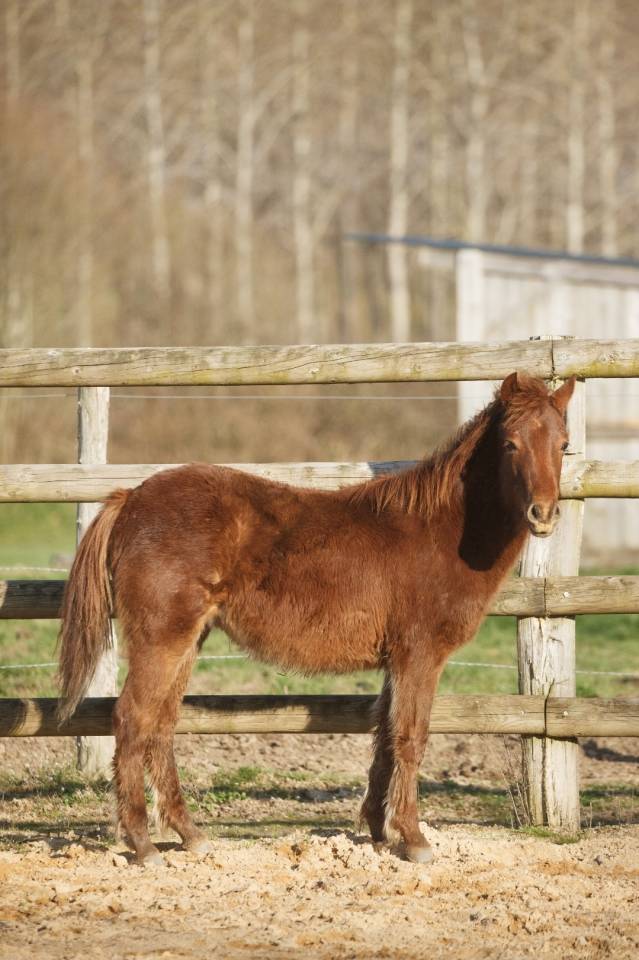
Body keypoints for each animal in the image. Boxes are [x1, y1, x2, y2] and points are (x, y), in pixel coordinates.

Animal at [57, 371, 575, 866]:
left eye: (564, 444)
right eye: (510, 443)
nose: (543, 514)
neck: (437, 531)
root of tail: (130, 497)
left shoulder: (395, 661)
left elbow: (384, 737)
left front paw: (379, 833)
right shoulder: (419, 655)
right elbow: (411, 737)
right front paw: (413, 839)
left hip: (187, 640)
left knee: (161, 725)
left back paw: (191, 836)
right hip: (161, 639)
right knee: (132, 719)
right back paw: (143, 845)